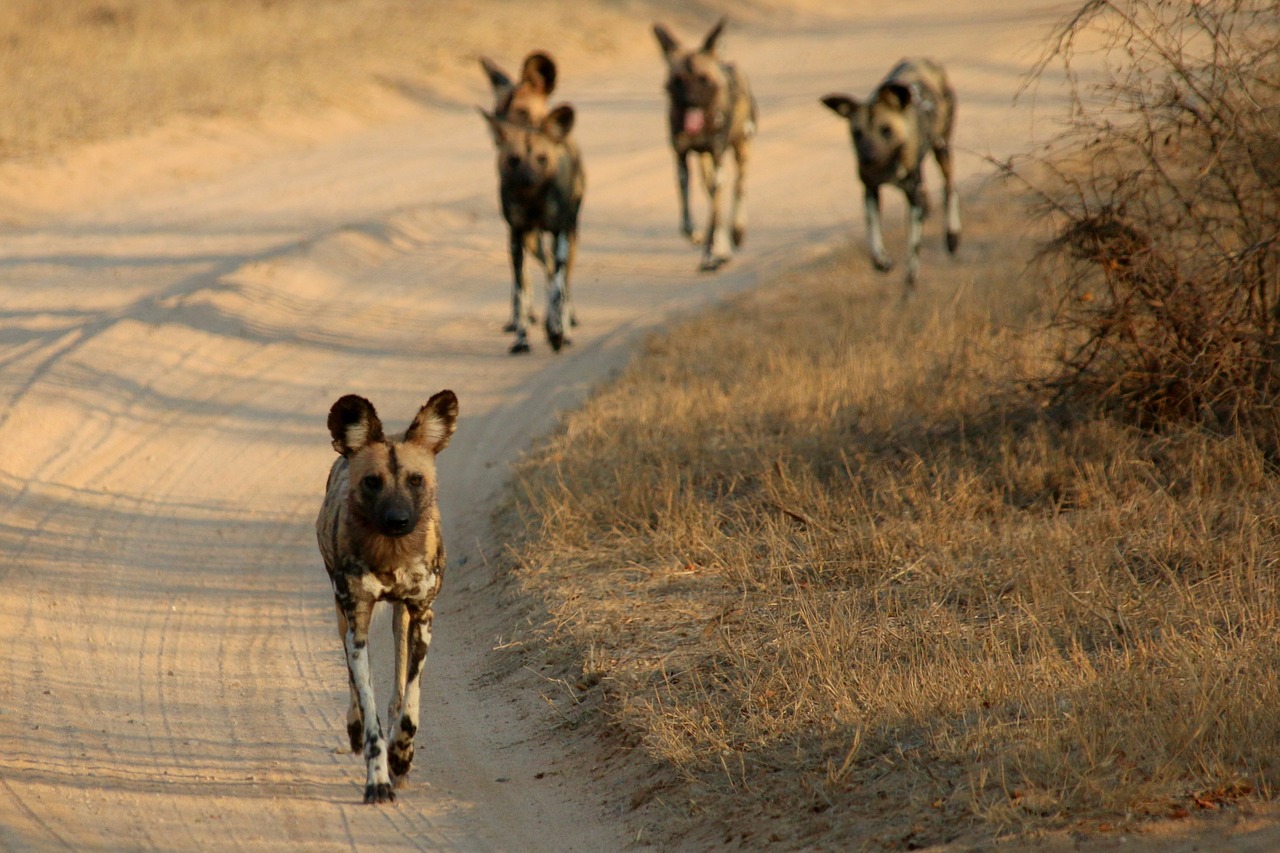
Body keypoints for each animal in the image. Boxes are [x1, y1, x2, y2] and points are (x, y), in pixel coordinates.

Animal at [316, 389, 460, 799]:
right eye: (372, 482)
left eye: (415, 480)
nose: (398, 520)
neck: (391, 555)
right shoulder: (357, 626)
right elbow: (370, 716)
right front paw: (378, 779)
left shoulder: (423, 616)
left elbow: (410, 706)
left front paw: (401, 756)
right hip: (342, 618)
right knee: (355, 689)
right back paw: (354, 728)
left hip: (404, 619)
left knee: (398, 685)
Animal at [481, 101, 586, 353]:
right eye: (514, 159)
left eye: (542, 158)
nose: (528, 180)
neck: (533, 201)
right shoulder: (517, 237)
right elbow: (520, 293)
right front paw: (521, 340)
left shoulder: (560, 233)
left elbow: (558, 289)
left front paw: (557, 332)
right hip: (533, 242)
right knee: (547, 268)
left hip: (570, 236)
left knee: (562, 280)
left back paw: (563, 330)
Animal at [655, 15, 752, 272]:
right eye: (677, 81)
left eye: (703, 80)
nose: (690, 101)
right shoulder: (681, 160)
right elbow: (687, 219)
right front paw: (698, 238)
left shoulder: (718, 157)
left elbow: (715, 215)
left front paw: (711, 254)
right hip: (704, 162)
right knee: (712, 194)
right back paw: (723, 247)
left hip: (740, 150)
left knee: (738, 187)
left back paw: (736, 233)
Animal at [819, 58, 962, 289]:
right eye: (857, 133)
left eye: (886, 130)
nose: (868, 159)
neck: (887, 166)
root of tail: (922, 59)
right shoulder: (870, 191)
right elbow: (873, 234)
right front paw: (881, 261)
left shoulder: (912, 198)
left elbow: (912, 252)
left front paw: (909, 284)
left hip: (942, 149)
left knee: (949, 187)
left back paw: (952, 236)